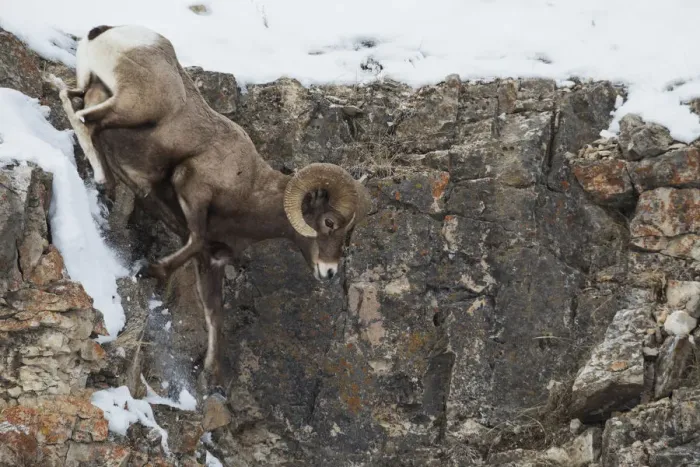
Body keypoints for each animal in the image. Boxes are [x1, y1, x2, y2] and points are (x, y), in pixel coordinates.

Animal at [61, 24, 372, 389]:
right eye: (329, 223)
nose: (330, 272)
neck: (249, 191)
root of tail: (108, 33)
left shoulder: (212, 262)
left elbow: (215, 315)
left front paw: (212, 371)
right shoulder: (192, 191)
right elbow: (194, 239)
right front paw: (151, 270)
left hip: (93, 88)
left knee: (71, 98)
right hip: (134, 107)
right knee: (85, 119)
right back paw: (102, 179)